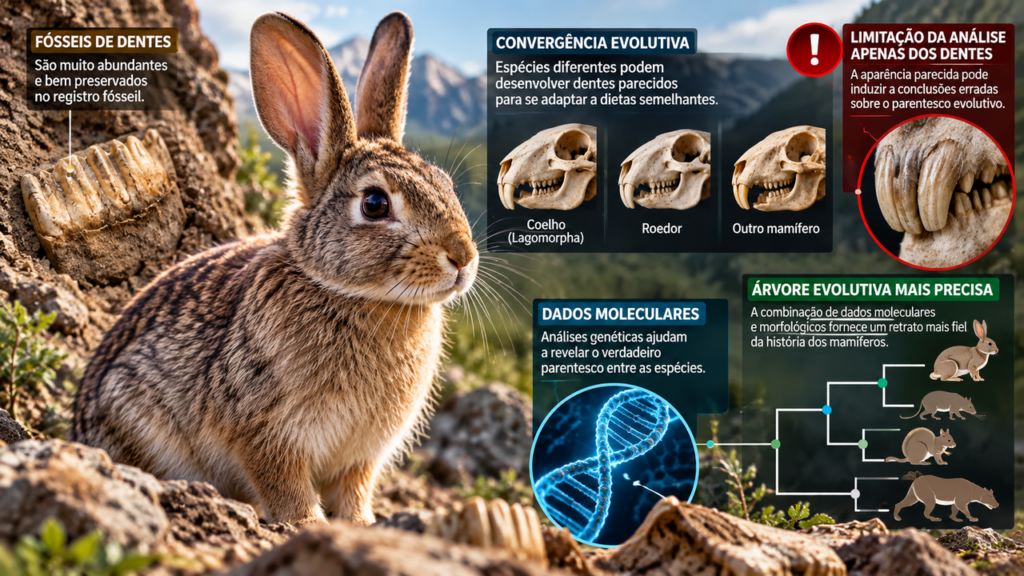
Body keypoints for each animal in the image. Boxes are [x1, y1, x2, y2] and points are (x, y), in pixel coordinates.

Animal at [70, 11, 478, 527]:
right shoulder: (266, 431)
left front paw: (362, 525)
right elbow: (285, 484)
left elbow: (354, 490)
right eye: (375, 203)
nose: (463, 257)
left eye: (445, 184)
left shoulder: (360, 456)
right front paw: (307, 523)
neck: (354, 295)